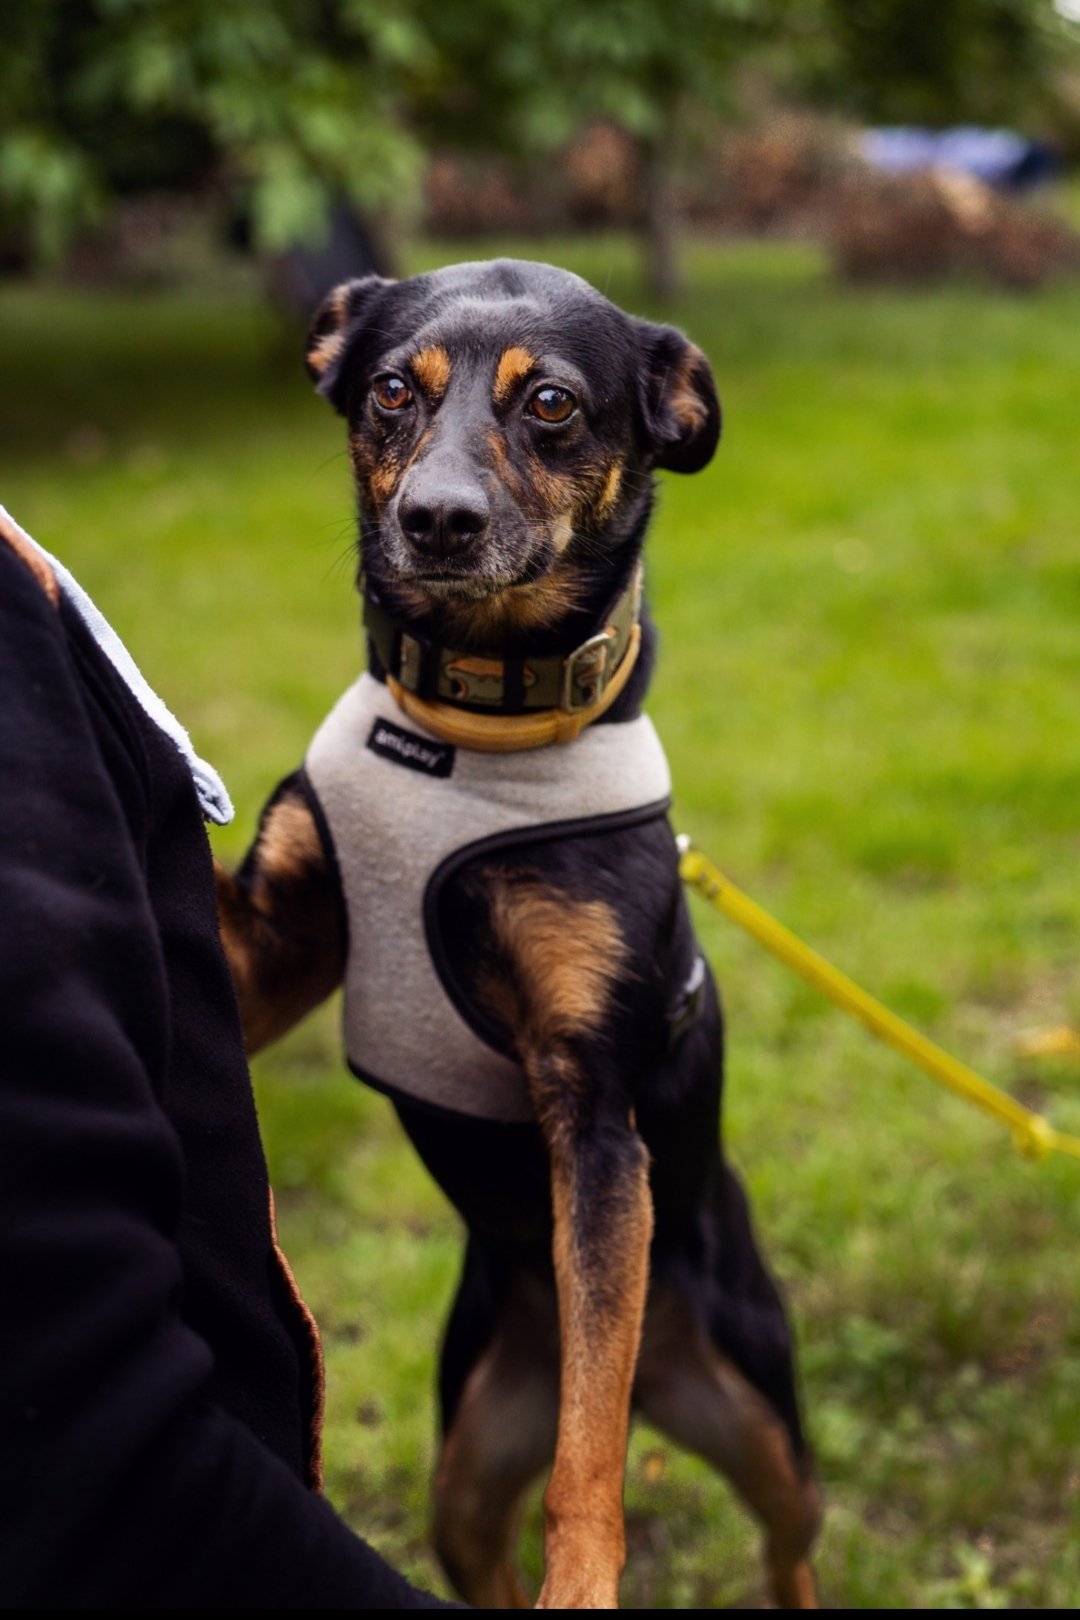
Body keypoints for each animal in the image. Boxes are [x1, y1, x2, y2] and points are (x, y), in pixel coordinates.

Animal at [216, 259, 819, 1613]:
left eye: (550, 404)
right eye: (392, 391)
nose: (437, 520)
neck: (469, 730)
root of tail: (662, 1391)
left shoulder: (590, 1111)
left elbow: (587, 1464)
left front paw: (584, 1580)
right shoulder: (275, 941)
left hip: (764, 1419)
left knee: (775, 1535)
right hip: (465, 1459)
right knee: (497, 1524)